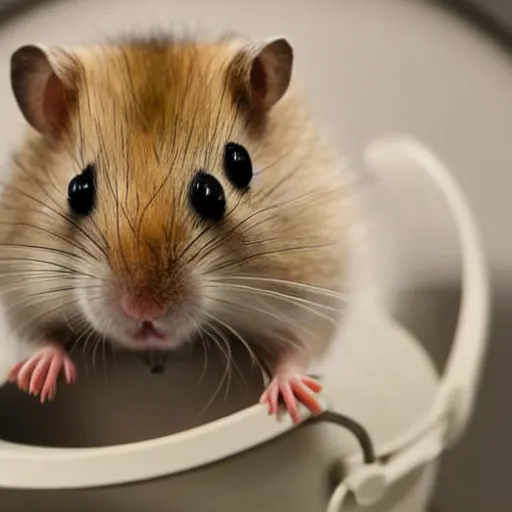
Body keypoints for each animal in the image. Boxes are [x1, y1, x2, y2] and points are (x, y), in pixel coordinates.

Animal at [0, 33, 348, 424]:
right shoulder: (21, 288)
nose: (144, 311)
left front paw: (296, 399)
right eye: (78, 189)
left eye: (238, 166)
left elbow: (295, 350)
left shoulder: (314, 289)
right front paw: (35, 380)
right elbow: (41, 338)